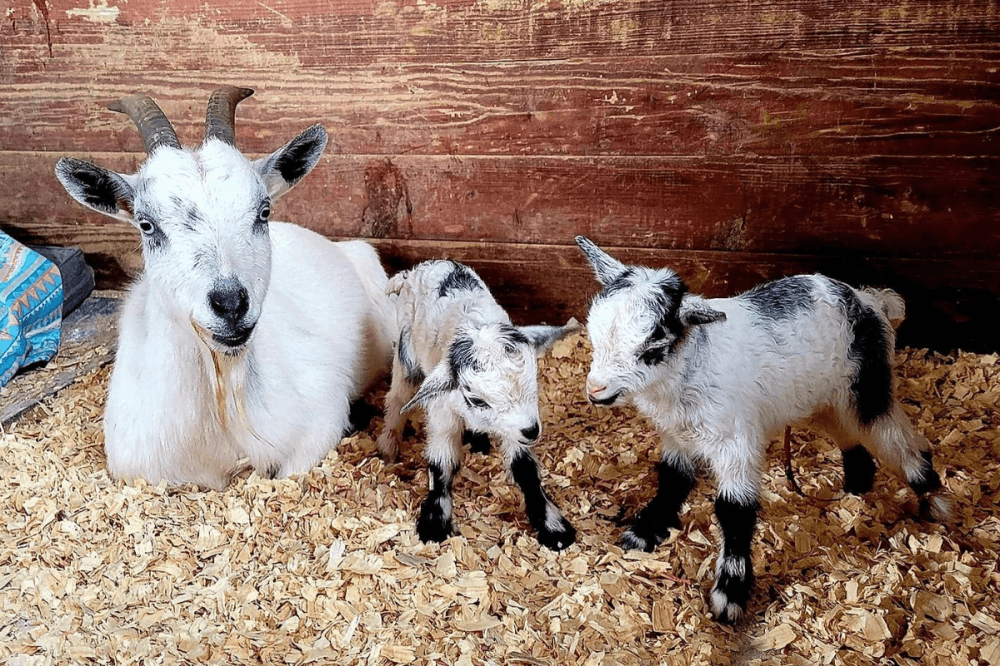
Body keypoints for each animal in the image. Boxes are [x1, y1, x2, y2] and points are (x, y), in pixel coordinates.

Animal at [377, 260, 578, 550]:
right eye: (477, 399)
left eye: (534, 379)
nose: (533, 431)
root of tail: (418, 269)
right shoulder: (442, 409)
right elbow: (441, 462)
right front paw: (433, 523)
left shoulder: (515, 425)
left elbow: (525, 469)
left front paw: (554, 528)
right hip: (408, 352)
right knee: (398, 397)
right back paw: (389, 446)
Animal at [575, 236, 950, 623]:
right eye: (594, 333)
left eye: (653, 345)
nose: (596, 390)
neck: (689, 363)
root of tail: (870, 300)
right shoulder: (676, 436)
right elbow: (672, 479)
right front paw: (644, 532)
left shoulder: (736, 441)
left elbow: (734, 509)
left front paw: (730, 593)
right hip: (824, 400)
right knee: (853, 440)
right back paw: (857, 487)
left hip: (868, 388)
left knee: (901, 441)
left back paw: (934, 499)